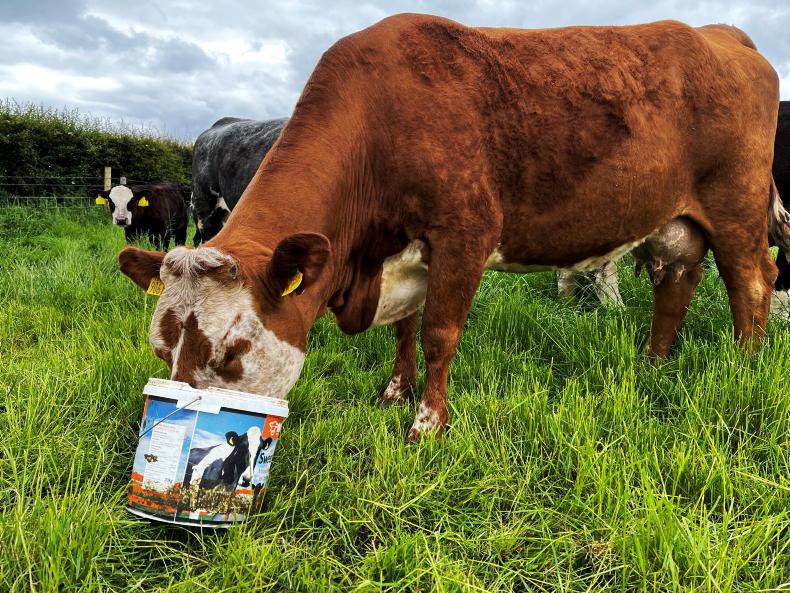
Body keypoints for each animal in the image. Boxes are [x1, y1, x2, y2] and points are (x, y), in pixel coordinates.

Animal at [118, 15, 783, 442]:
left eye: (232, 352)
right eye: (159, 347)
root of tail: (719, 34)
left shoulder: (464, 233)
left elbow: (440, 333)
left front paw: (427, 425)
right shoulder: (405, 254)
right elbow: (404, 331)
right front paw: (395, 392)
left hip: (737, 205)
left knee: (752, 281)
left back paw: (743, 366)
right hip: (676, 220)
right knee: (677, 282)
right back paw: (653, 364)